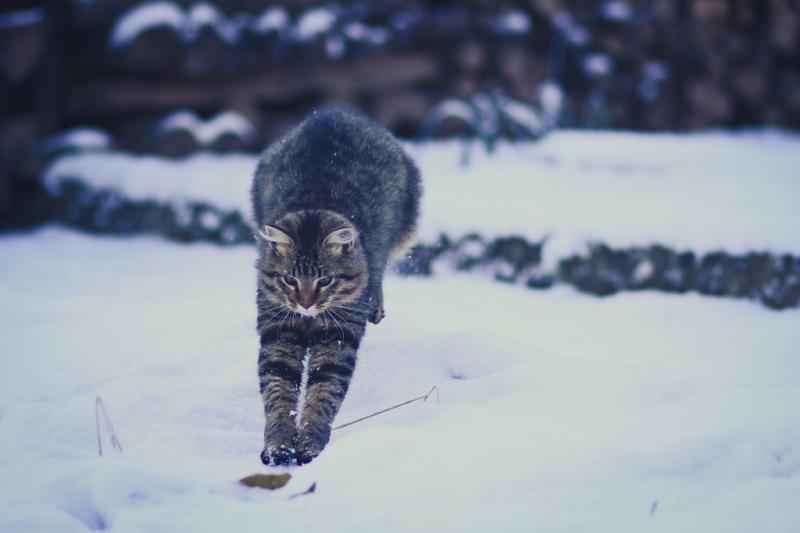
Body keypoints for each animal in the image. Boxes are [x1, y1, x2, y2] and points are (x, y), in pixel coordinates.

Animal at [253, 109, 422, 466]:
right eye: (290, 279)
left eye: (325, 280)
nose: (305, 303)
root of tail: (333, 111)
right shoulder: (278, 332)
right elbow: (279, 390)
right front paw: (278, 445)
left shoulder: (338, 338)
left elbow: (323, 393)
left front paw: (310, 445)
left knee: (380, 271)